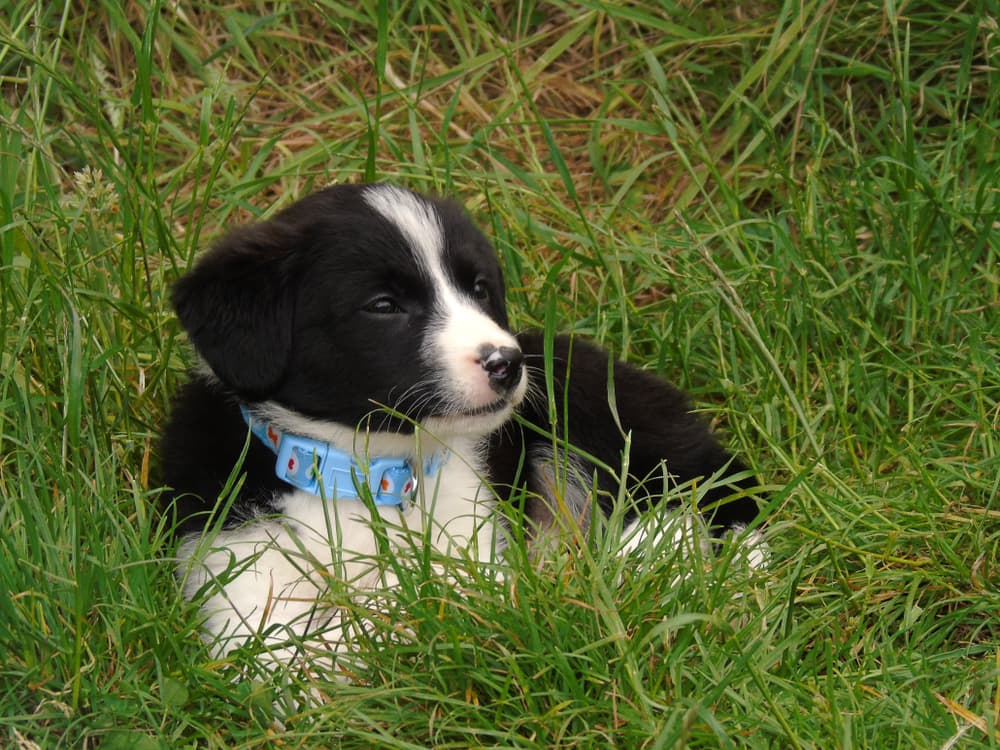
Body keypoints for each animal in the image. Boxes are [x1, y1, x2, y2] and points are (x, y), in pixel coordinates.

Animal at [160, 185, 760, 672]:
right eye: (383, 305)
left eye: (479, 288)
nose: (506, 363)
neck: (366, 469)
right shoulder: (233, 568)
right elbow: (276, 649)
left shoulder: (472, 553)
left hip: (595, 409)